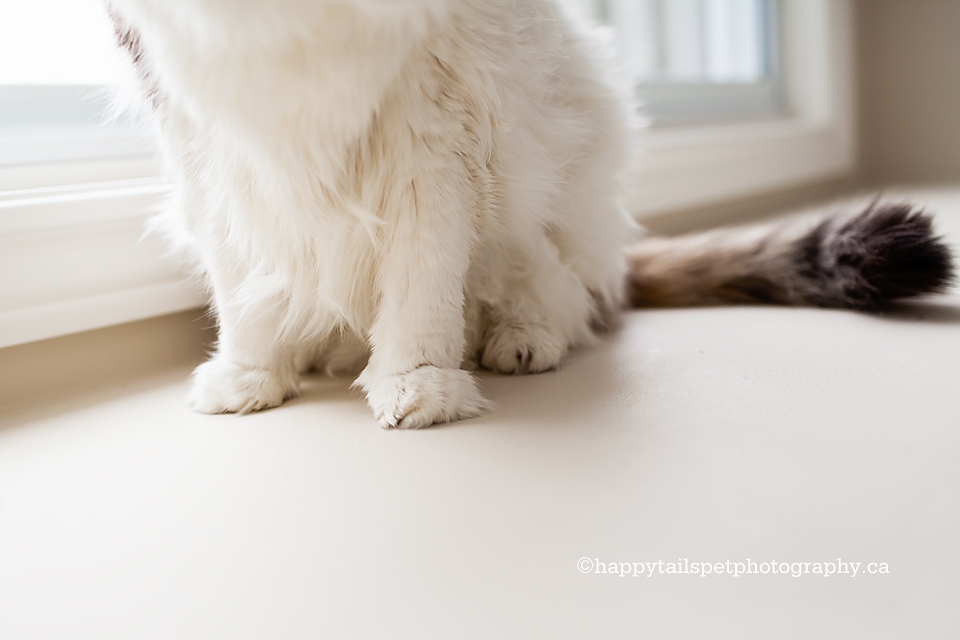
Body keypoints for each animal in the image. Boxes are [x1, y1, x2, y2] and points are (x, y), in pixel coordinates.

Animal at [105, 2, 952, 430]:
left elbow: (419, 296)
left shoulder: (427, 139)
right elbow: (240, 285)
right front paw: (251, 373)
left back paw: (519, 341)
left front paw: (418, 384)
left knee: (566, 304)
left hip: (543, 215)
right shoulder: (209, 145)